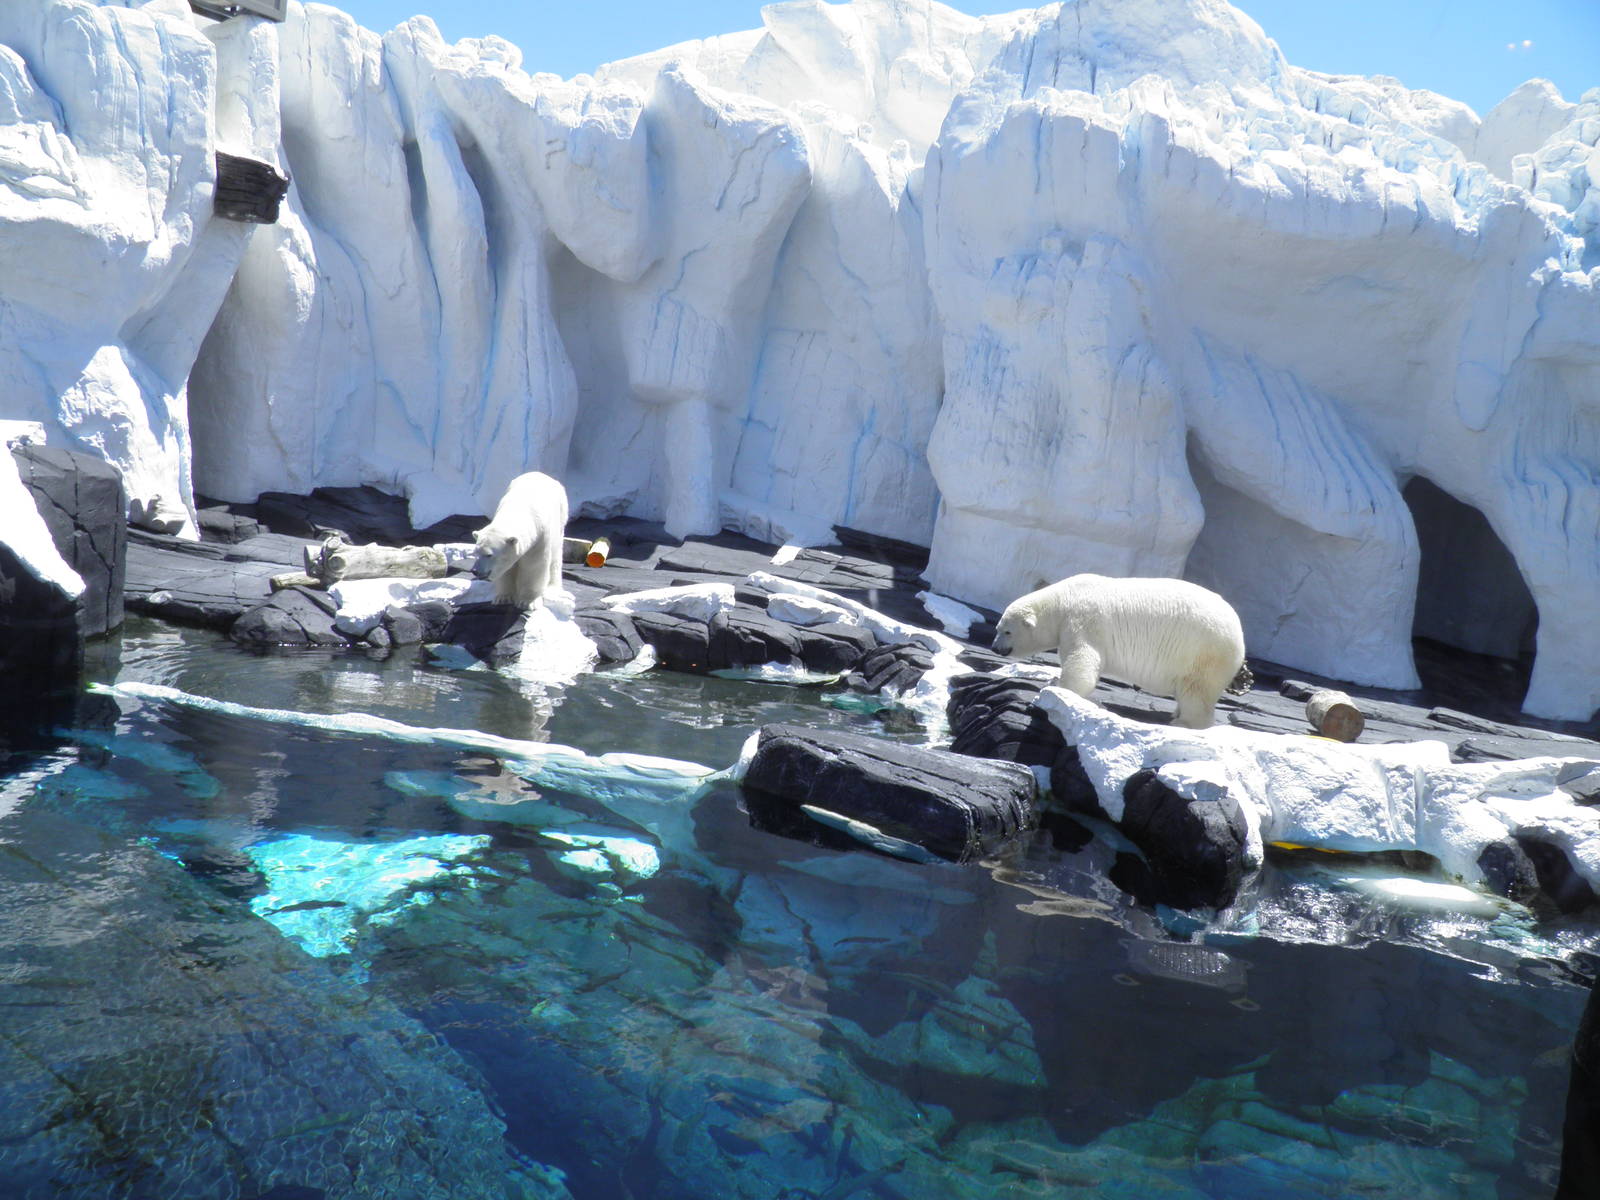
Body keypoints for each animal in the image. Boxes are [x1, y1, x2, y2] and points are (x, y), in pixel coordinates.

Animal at [472, 471, 569, 610]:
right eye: (475, 553)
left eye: (489, 555)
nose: (475, 571)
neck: (519, 509)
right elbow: (506, 570)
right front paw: (503, 598)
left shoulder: (540, 537)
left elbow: (533, 565)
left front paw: (528, 602)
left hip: (561, 517)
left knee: (555, 555)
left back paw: (553, 587)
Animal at [991, 574, 1251, 729]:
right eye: (998, 628)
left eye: (1007, 631)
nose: (995, 647)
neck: (1063, 599)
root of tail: (1239, 632)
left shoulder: (1084, 620)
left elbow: (1082, 661)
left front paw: (1056, 687)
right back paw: (1175, 715)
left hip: (1203, 651)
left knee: (1196, 688)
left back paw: (1183, 723)